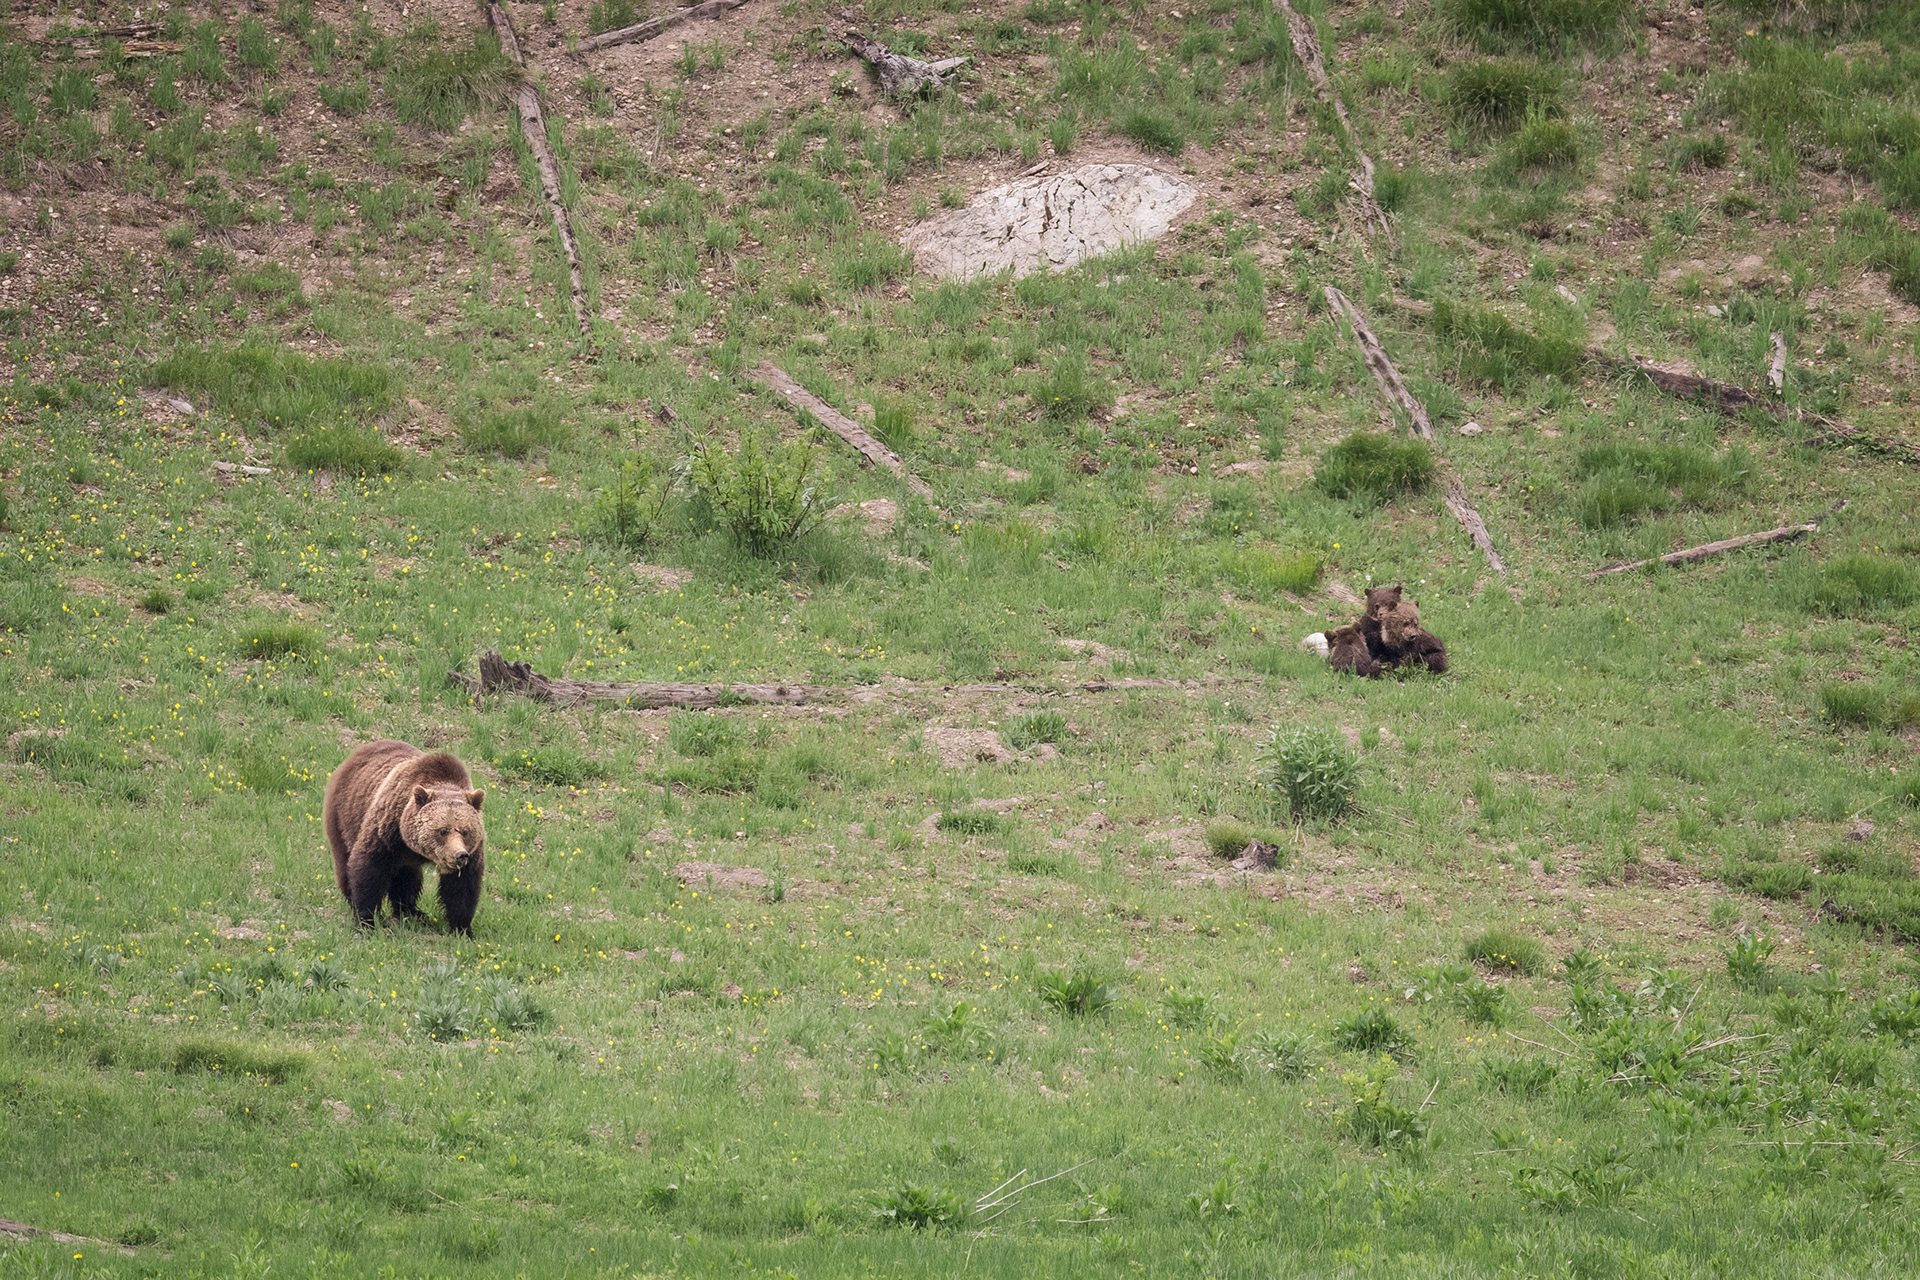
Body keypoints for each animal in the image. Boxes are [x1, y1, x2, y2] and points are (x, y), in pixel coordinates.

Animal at [323, 740, 487, 936]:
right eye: (442, 831)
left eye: (465, 831)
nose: (459, 855)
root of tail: (359, 752)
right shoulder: (388, 830)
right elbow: (369, 867)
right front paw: (368, 920)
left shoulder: (474, 851)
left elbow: (462, 886)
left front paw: (462, 929)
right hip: (343, 815)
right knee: (344, 860)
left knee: (407, 878)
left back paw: (412, 911)